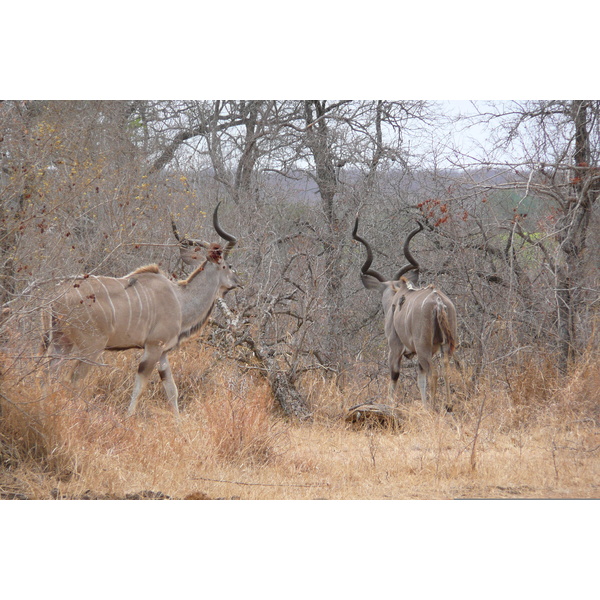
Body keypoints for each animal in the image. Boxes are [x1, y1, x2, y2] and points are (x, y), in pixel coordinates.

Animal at [45, 204, 240, 414]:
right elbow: (140, 387)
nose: (238, 282)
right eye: (227, 265)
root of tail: (56, 296)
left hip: (60, 343)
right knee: (73, 380)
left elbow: (172, 390)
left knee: (48, 374)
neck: (179, 299)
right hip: (91, 347)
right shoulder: (153, 347)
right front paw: (129, 417)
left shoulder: (163, 352)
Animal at [352, 218, 454, 410]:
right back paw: (448, 406)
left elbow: (394, 376)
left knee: (434, 374)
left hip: (424, 348)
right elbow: (420, 380)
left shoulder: (395, 347)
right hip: (445, 347)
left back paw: (433, 408)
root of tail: (438, 302)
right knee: (447, 371)